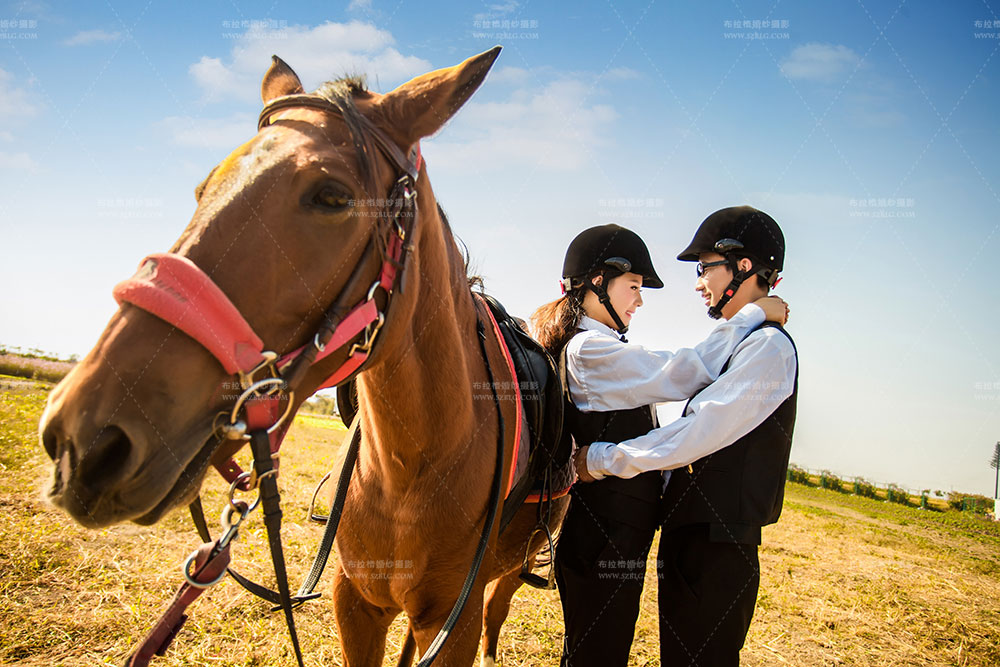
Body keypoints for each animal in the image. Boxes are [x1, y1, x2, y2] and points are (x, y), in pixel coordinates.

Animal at [37, 47, 572, 667]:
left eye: (333, 196)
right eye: (203, 189)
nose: (81, 442)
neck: (413, 470)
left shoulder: (450, 625)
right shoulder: (356, 603)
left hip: (509, 574)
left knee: (495, 614)